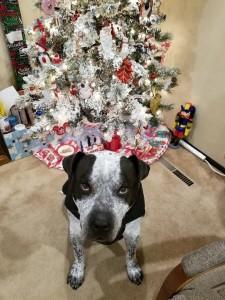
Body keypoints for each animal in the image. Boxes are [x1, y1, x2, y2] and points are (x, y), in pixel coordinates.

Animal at [62, 151, 149, 290]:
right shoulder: (76, 232)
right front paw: (77, 271)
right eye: (84, 186)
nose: (100, 224)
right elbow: (78, 253)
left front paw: (132, 269)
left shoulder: (132, 232)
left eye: (123, 189)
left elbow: (131, 253)